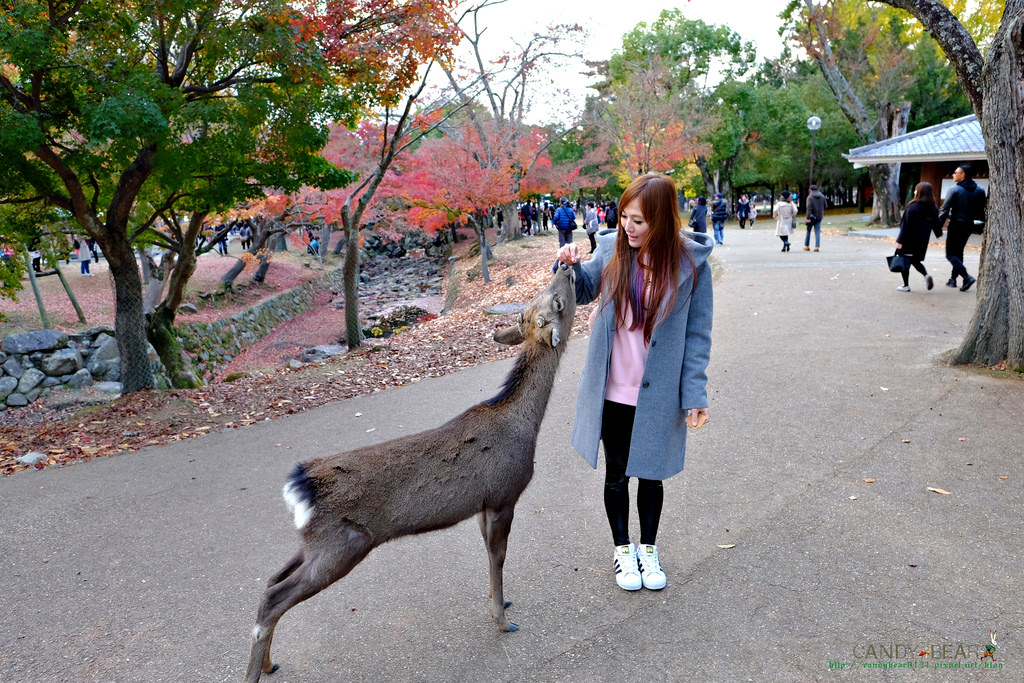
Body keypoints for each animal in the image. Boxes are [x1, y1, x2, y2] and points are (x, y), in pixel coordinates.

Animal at [240, 264, 577, 679]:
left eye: (540, 297)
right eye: (557, 301)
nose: (568, 266)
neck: (524, 425)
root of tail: (299, 486)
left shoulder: (483, 504)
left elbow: (487, 554)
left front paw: (499, 604)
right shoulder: (504, 493)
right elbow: (499, 557)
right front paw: (503, 620)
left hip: (313, 542)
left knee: (271, 580)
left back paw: (269, 662)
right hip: (343, 544)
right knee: (273, 596)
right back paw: (255, 672)